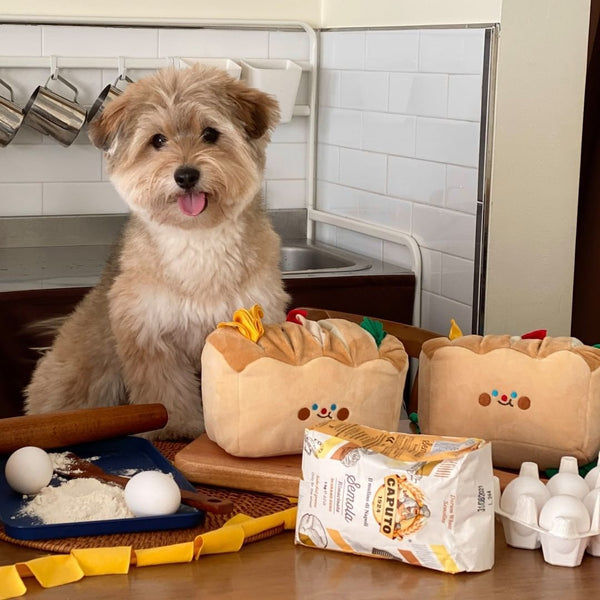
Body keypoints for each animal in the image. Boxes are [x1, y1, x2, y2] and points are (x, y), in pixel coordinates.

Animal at [24, 65, 292, 438]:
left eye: (210, 134)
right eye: (158, 140)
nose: (186, 175)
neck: (196, 238)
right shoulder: (150, 335)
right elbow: (166, 392)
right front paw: (176, 428)